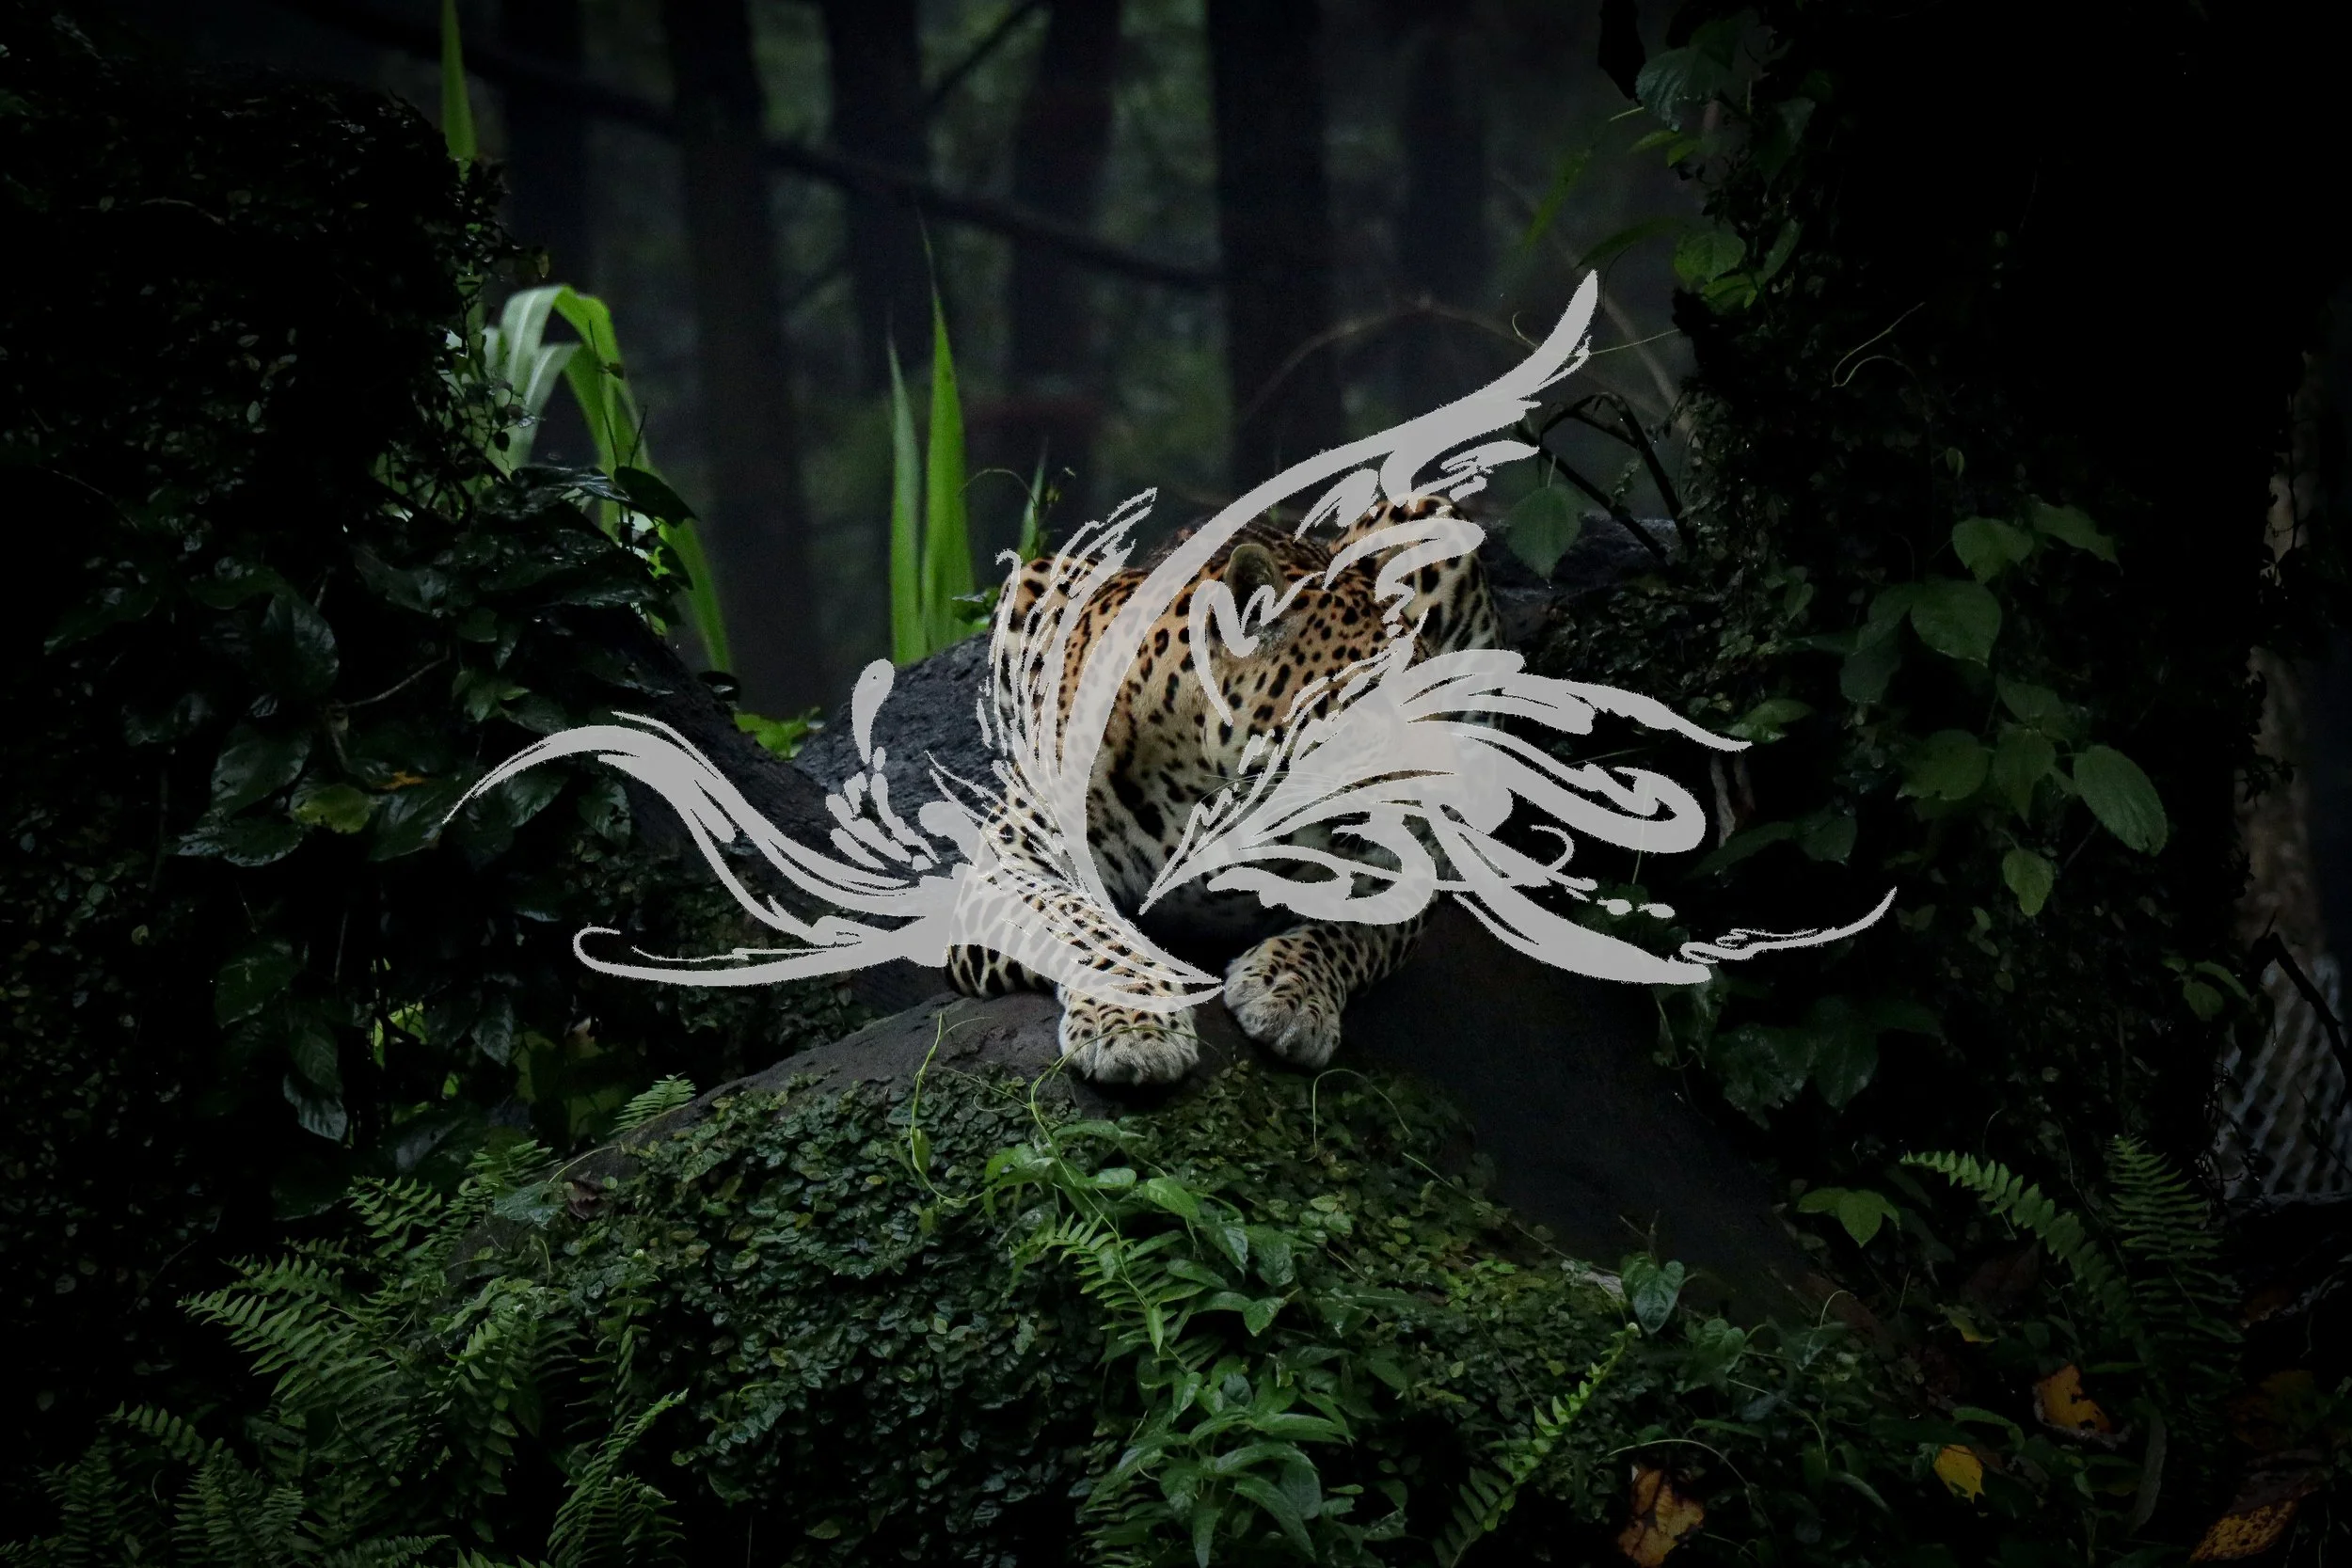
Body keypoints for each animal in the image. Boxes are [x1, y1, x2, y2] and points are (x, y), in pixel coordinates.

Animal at [945, 495, 1498, 1085]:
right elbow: (1088, 926)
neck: (1212, 792)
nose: (1445, 804)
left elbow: (1342, 933)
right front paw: (1134, 1029)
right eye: (1371, 708)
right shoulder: (1007, 867)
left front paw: (1290, 994)